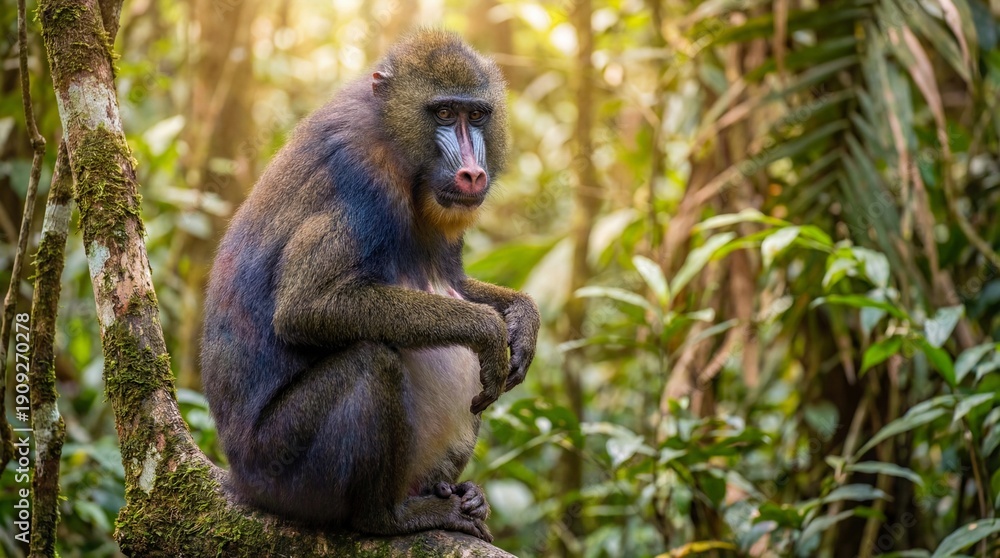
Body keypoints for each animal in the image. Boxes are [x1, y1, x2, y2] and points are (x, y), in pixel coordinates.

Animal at [200, 30, 540, 542]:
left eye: (476, 115)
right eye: (444, 113)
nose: (472, 173)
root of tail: (241, 478)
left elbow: (456, 284)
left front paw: (522, 320)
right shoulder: (363, 176)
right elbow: (307, 307)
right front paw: (489, 331)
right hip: (284, 464)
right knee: (371, 362)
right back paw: (389, 517)